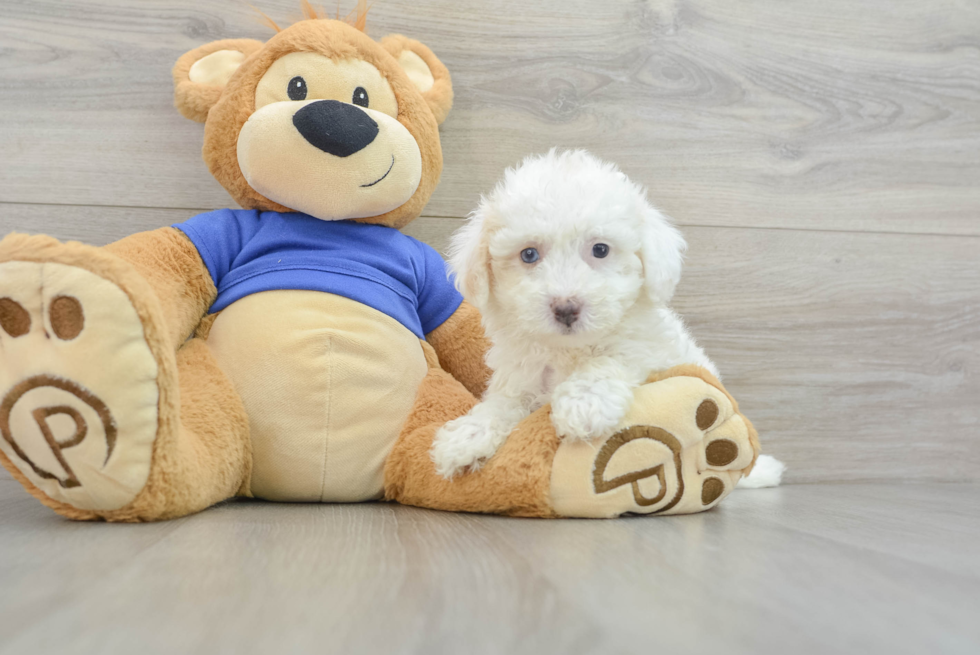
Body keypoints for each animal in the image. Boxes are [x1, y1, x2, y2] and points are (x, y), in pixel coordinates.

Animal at [432, 151, 716, 482]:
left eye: (601, 249)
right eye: (529, 254)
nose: (566, 308)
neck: (566, 351)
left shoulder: (651, 350)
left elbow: (613, 357)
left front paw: (583, 403)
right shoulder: (520, 377)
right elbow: (503, 403)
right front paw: (467, 436)